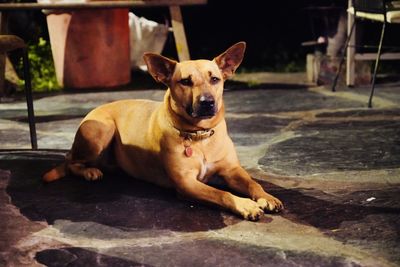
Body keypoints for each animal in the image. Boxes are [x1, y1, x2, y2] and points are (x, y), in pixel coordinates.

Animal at [42, 42, 282, 222]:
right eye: (185, 81)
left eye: (215, 79)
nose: (207, 102)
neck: (199, 136)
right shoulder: (186, 183)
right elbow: (222, 194)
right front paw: (244, 204)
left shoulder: (232, 170)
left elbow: (252, 182)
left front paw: (265, 196)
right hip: (101, 132)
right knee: (70, 161)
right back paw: (89, 171)